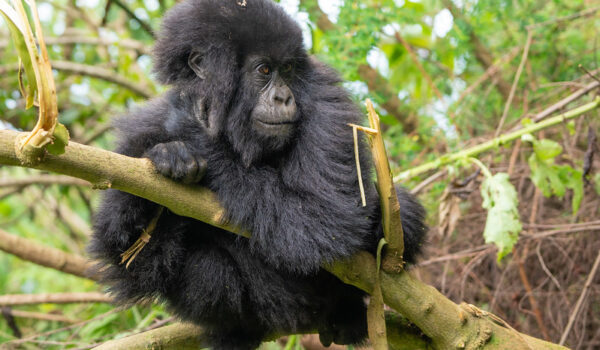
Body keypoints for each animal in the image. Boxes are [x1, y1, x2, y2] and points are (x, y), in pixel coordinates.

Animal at [88, 0, 426, 348]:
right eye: (263, 70)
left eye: (287, 69)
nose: (283, 97)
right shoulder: (137, 135)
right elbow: (131, 262)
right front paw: (169, 155)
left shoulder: (326, 101)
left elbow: (325, 218)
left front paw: (185, 128)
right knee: (202, 268)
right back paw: (234, 330)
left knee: (401, 210)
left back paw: (346, 312)